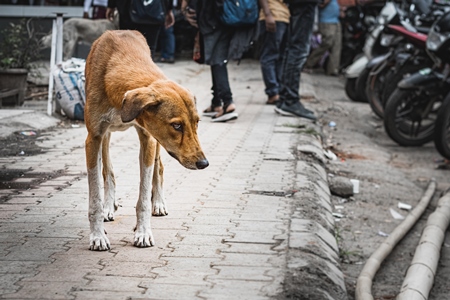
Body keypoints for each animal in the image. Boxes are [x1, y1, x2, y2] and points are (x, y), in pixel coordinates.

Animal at [85, 30, 209, 251]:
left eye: (197, 122)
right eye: (177, 126)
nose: (204, 163)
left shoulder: (148, 138)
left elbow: (143, 197)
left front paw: (143, 232)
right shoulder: (93, 138)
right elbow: (95, 197)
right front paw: (97, 235)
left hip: (156, 140)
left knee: (159, 168)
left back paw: (158, 203)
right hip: (106, 137)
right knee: (108, 171)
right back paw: (109, 206)